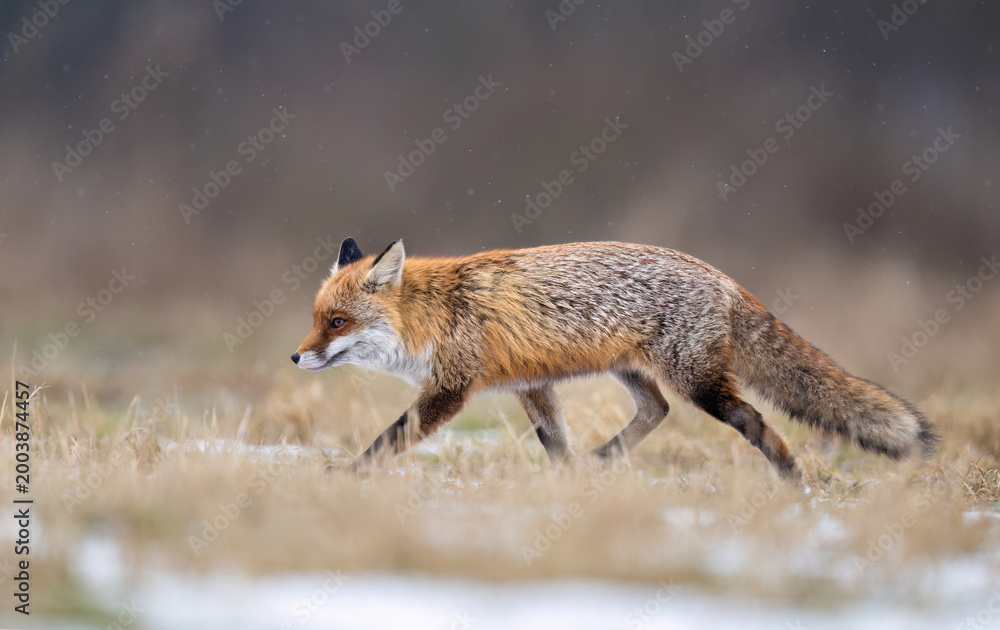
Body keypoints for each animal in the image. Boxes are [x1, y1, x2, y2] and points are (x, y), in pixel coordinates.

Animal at [291, 238, 938, 479]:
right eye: (317, 318)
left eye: (337, 323)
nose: (295, 357)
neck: (436, 313)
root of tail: (725, 278)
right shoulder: (530, 385)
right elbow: (554, 441)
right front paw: (565, 481)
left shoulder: (451, 389)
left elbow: (391, 436)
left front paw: (348, 475)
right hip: (633, 372)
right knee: (656, 412)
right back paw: (602, 460)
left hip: (698, 381)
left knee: (754, 420)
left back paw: (793, 479)